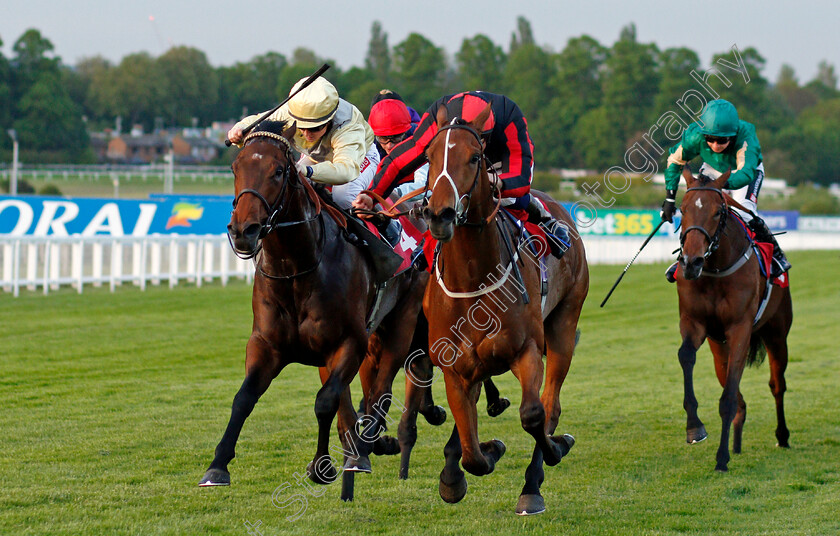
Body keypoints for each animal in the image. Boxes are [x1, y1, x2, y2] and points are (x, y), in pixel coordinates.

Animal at [197, 121, 434, 498]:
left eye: (278, 171)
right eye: (236, 168)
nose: (243, 231)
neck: (297, 269)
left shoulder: (350, 342)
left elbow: (325, 402)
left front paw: (322, 467)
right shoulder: (267, 344)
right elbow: (244, 397)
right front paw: (217, 466)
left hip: (402, 323)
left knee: (381, 391)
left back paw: (370, 444)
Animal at [420, 104, 592, 516]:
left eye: (475, 157)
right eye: (429, 156)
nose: (440, 215)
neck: (472, 280)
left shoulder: (526, 350)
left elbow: (533, 415)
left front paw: (551, 454)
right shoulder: (455, 369)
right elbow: (471, 452)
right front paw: (474, 460)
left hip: (564, 326)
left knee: (550, 405)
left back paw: (535, 480)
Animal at [672, 165, 792, 472]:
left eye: (717, 212)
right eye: (682, 209)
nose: (691, 262)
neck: (715, 267)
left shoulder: (740, 329)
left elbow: (728, 398)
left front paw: (721, 459)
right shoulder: (694, 323)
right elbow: (686, 356)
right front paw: (694, 427)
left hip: (777, 333)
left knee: (777, 385)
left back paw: (782, 436)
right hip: (718, 346)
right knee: (732, 385)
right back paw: (736, 442)